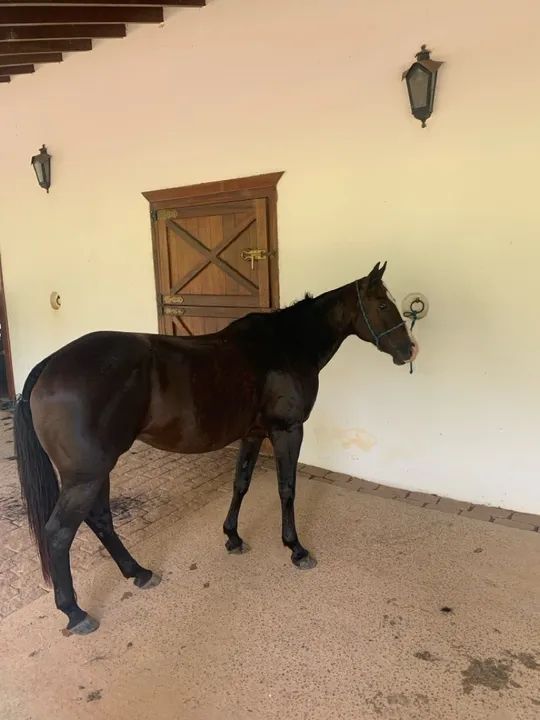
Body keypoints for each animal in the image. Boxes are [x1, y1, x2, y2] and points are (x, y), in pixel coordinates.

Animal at [14, 262, 417, 635]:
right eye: (383, 304)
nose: (409, 350)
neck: (285, 346)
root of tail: (50, 364)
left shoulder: (253, 434)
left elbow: (241, 483)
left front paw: (233, 537)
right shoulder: (287, 431)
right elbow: (287, 489)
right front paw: (295, 548)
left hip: (97, 471)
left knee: (99, 519)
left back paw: (138, 573)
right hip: (87, 474)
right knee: (59, 533)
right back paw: (75, 612)